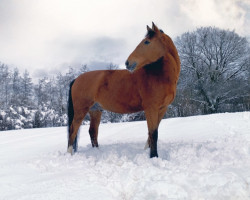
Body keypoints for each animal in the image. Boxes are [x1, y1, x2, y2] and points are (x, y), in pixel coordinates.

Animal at [67, 22, 180, 158]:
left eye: (147, 42)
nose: (127, 63)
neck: (159, 75)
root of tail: (76, 79)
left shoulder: (162, 109)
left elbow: (152, 133)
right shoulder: (151, 108)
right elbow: (153, 133)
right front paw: (154, 156)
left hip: (95, 110)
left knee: (92, 131)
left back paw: (97, 152)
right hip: (80, 110)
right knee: (73, 130)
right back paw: (69, 154)